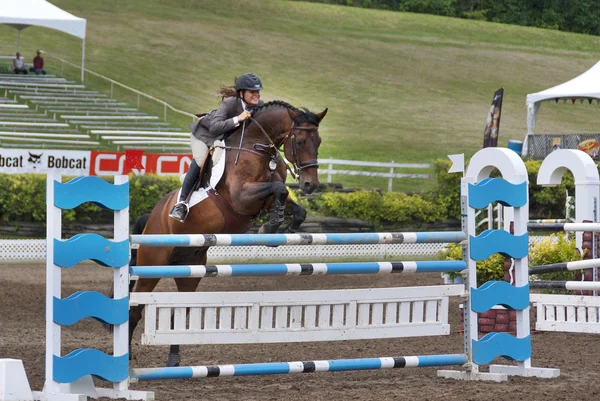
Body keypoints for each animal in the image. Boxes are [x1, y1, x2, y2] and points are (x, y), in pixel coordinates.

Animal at [129, 101, 328, 366]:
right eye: (301, 141)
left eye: (319, 141)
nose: (310, 185)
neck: (258, 146)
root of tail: (152, 217)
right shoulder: (241, 197)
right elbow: (279, 188)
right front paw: (272, 225)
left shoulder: (264, 199)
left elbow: (292, 204)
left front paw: (281, 226)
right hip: (151, 266)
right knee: (135, 309)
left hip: (190, 270)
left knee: (181, 311)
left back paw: (173, 359)